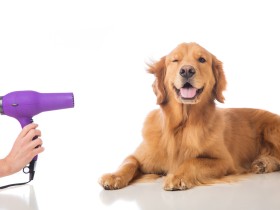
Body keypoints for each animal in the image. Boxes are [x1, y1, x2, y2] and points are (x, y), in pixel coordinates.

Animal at [98, 42, 280, 190]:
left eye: (202, 59)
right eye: (175, 60)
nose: (187, 70)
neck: (182, 124)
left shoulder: (225, 161)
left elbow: (192, 161)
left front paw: (177, 176)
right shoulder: (140, 155)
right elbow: (128, 162)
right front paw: (114, 177)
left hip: (271, 129)